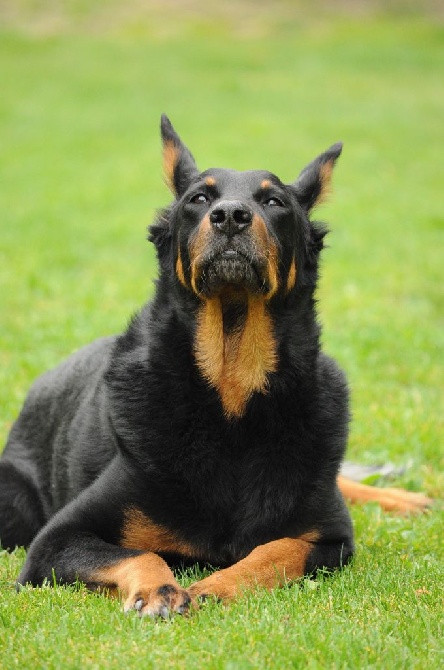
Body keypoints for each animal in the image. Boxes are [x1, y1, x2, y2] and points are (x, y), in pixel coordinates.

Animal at [0, 117, 430, 620]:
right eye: (199, 199)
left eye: (274, 201)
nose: (230, 217)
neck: (231, 397)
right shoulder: (54, 541)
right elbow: (140, 552)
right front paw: (159, 590)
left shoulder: (331, 538)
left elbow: (276, 549)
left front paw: (216, 586)